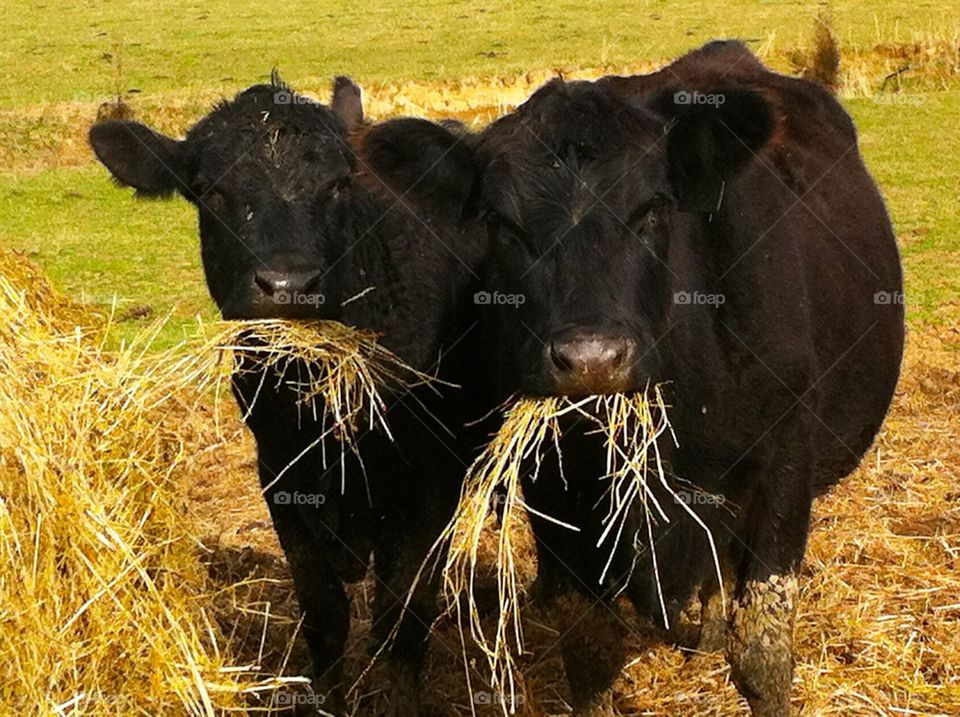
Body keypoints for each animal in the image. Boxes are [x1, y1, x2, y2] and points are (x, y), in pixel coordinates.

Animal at [89, 74, 488, 715]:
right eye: (212, 191)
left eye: (338, 184)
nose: (289, 284)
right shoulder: (279, 474)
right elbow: (324, 613)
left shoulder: (433, 480)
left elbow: (402, 618)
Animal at [385, 41, 904, 715]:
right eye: (501, 223)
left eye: (653, 208)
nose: (591, 358)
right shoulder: (558, 491)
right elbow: (590, 647)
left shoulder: (785, 464)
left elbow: (762, 652)